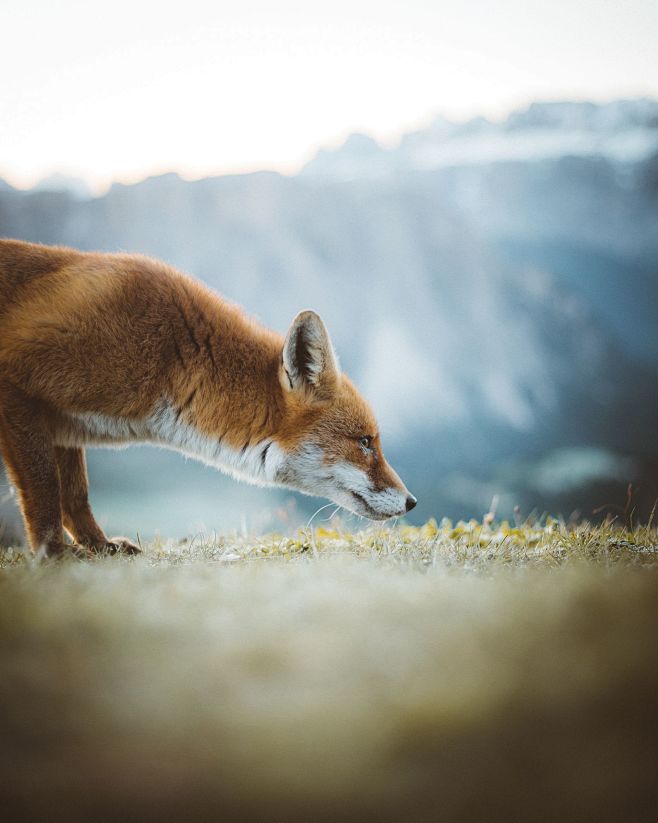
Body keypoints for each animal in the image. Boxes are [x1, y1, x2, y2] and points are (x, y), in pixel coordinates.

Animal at [0, 238, 416, 556]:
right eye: (365, 442)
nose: (412, 501)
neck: (169, 357)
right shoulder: (16, 379)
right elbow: (46, 489)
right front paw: (55, 557)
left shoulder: (64, 424)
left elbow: (75, 495)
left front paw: (99, 547)